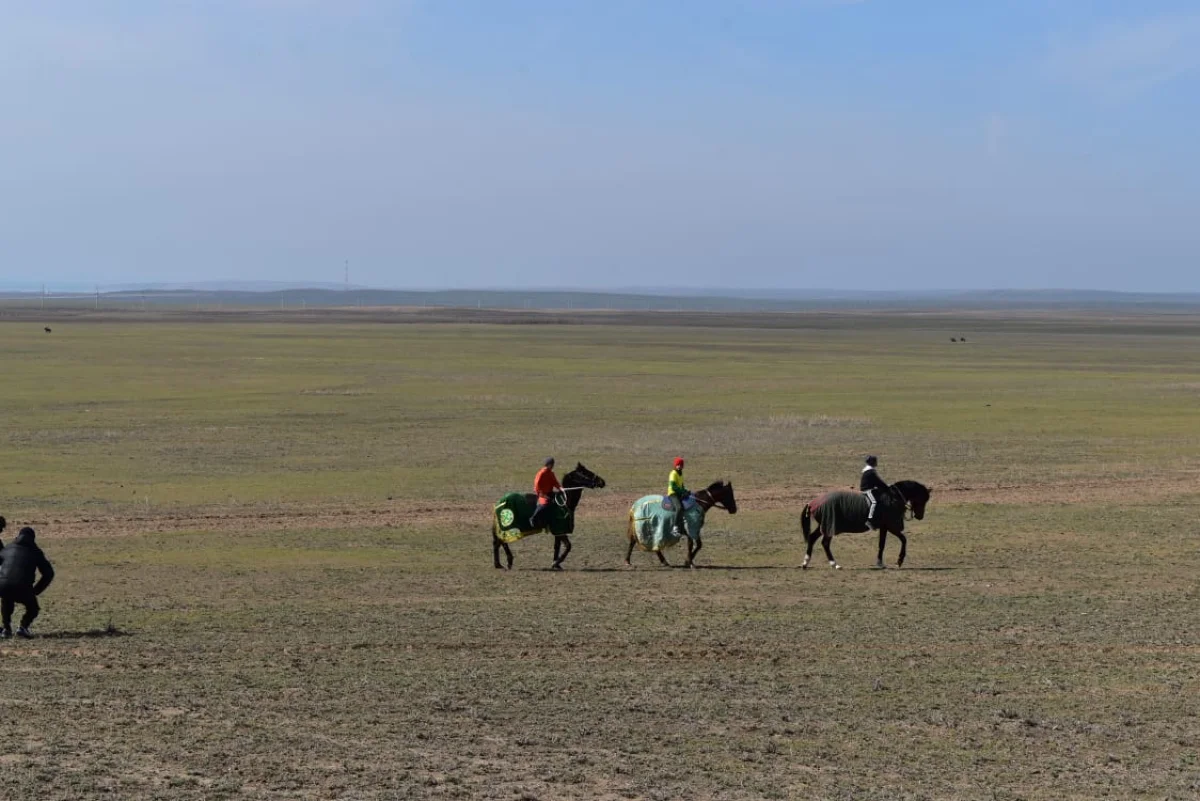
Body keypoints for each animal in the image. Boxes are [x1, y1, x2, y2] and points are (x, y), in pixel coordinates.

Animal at [801, 482, 931, 568]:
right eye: (922, 499)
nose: (920, 516)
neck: (892, 498)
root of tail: (812, 503)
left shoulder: (884, 527)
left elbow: (881, 544)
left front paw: (880, 563)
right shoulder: (891, 526)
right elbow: (903, 539)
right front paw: (899, 560)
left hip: (823, 526)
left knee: (812, 538)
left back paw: (805, 562)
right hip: (829, 526)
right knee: (825, 543)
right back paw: (834, 564)